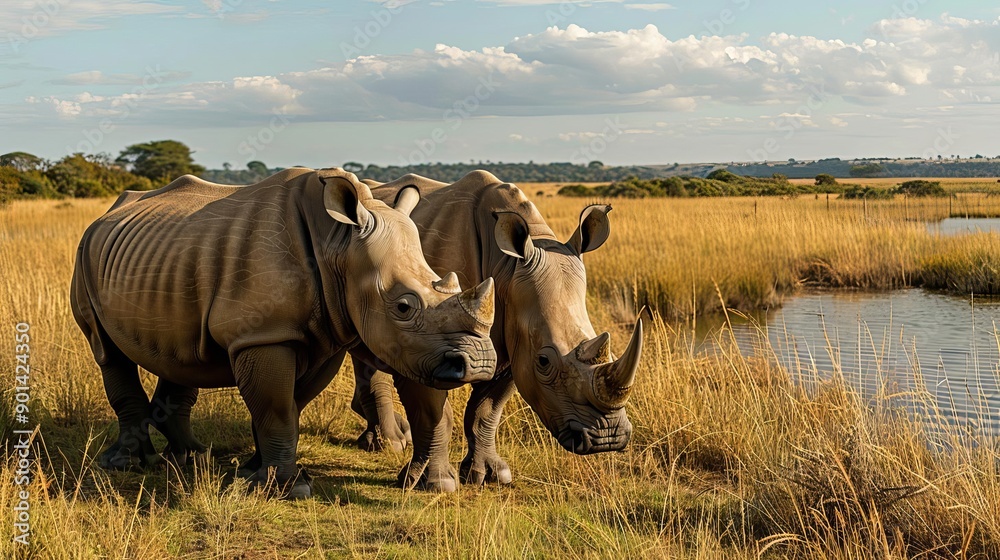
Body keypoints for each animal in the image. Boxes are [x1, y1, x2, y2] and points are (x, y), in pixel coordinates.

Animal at [70, 167, 497, 499]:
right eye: (404, 307)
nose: (478, 363)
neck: (338, 244)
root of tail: (108, 212)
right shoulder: (266, 334)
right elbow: (276, 407)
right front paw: (289, 488)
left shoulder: (330, 336)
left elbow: (290, 404)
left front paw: (256, 472)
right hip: (85, 255)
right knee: (108, 352)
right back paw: (129, 464)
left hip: (167, 258)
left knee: (181, 354)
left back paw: (191, 457)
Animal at [346, 170, 644, 490]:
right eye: (544, 361)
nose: (607, 439)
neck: (507, 267)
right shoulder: (422, 340)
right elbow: (432, 412)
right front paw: (436, 483)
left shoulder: (513, 343)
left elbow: (486, 410)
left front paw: (489, 476)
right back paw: (390, 444)